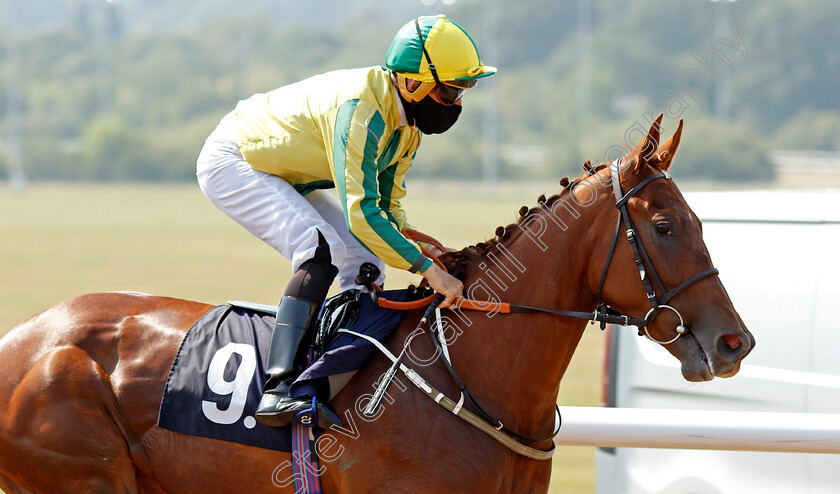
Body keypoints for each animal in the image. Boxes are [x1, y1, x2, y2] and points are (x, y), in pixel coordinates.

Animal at [0, 117, 756, 492]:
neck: (465, 378)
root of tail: (23, 339)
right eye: (667, 226)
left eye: (698, 219)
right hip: (83, 478)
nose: (734, 343)